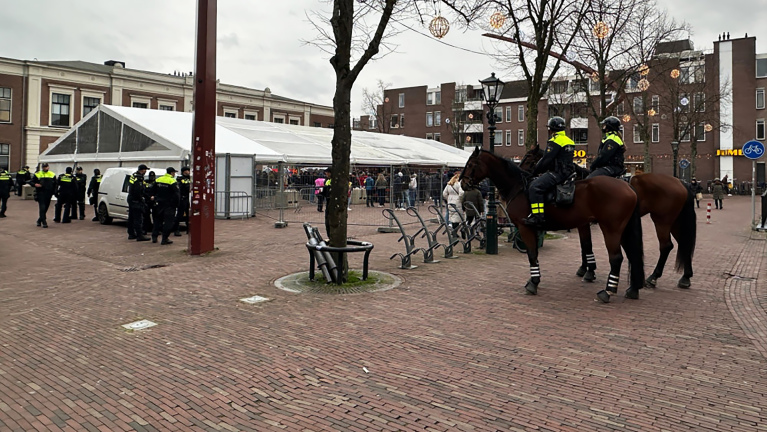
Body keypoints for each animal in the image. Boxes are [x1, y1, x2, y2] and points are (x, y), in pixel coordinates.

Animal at [460, 147, 644, 302]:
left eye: (471, 164)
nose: (463, 183)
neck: (518, 187)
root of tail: (627, 185)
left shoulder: (525, 227)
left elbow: (532, 254)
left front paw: (533, 283)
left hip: (611, 229)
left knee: (616, 258)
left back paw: (608, 292)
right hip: (623, 230)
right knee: (632, 255)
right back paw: (633, 289)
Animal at [520, 146, 696, 290]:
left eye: (528, 158)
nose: (523, 174)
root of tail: (680, 181)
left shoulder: (583, 223)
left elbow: (586, 245)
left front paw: (588, 271)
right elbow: (585, 245)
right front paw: (585, 269)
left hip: (661, 220)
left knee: (666, 246)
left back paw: (653, 278)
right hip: (674, 221)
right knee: (684, 242)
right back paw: (685, 277)